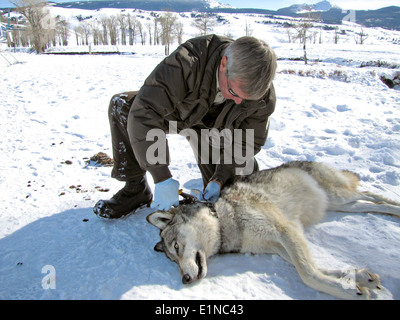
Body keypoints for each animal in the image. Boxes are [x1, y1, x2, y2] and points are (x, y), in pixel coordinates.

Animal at [147, 162, 400, 300]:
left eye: (177, 247)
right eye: (172, 260)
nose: (185, 280)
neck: (223, 221)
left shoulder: (286, 230)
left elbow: (308, 274)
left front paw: (347, 291)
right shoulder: (279, 246)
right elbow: (318, 268)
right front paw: (358, 279)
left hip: (340, 196)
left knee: (371, 195)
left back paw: (396, 207)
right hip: (340, 204)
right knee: (367, 203)